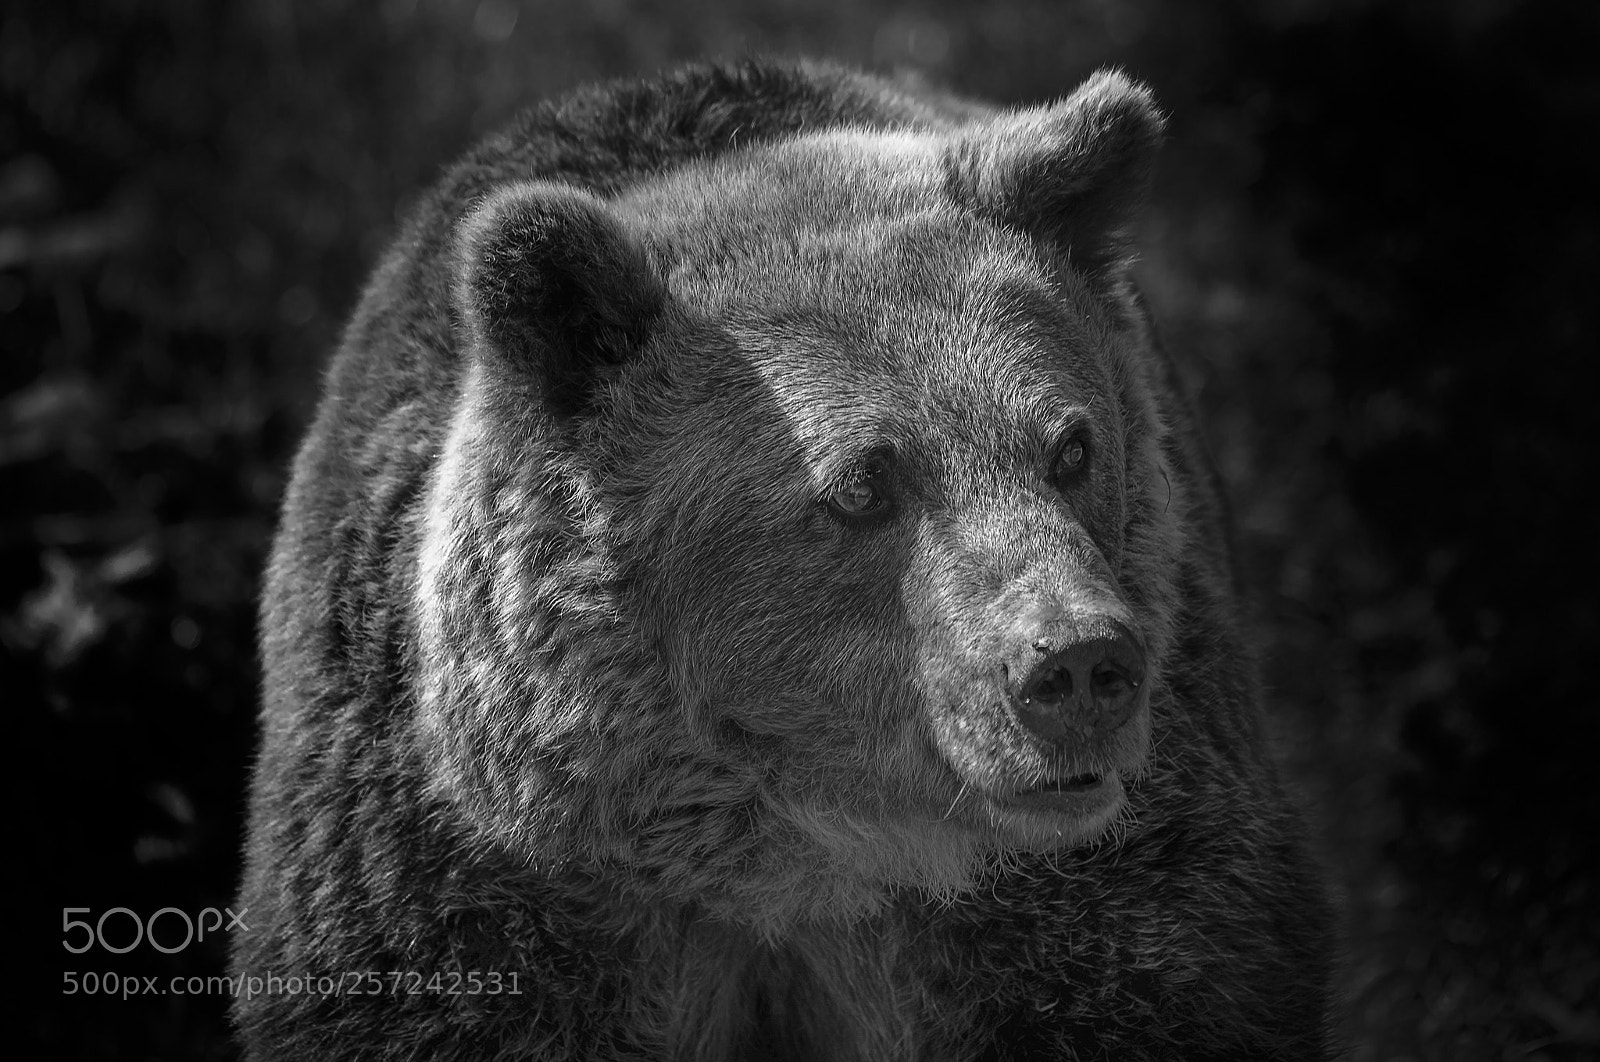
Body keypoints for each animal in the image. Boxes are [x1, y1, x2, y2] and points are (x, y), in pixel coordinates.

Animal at [233, 58, 1334, 1061]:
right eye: (862, 485)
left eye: (1070, 447)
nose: (1074, 665)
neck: (790, 863)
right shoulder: (467, 888)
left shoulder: (1107, 895)